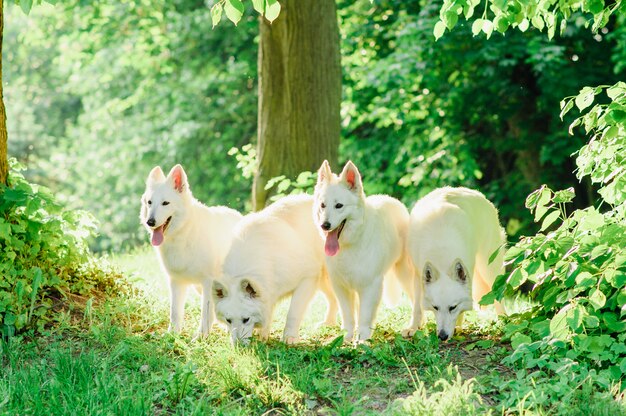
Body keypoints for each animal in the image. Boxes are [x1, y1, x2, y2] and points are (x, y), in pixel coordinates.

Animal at [140, 164, 241, 336]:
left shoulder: (208, 282)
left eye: (165, 203)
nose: (150, 222)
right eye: (149, 203)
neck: (183, 235)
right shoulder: (176, 282)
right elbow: (175, 313)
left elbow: (205, 313)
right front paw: (171, 336)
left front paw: (200, 338)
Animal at [211, 195, 338, 344]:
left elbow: (293, 312)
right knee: (333, 299)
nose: (238, 346)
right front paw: (263, 335)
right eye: (228, 320)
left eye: (246, 319)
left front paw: (289, 337)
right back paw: (329, 322)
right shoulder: (269, 290)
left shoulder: (307, 279)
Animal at [312, 159, 414, 342]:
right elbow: (348, 316)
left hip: (405, 274)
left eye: (339, 206)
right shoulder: (341, 287)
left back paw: (413, 327)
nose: (325, 225)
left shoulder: (370, 286)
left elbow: (365, 316)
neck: (350, 244)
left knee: (418, 302)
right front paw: (346, 338)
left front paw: (362, 340)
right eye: (323, 205)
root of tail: (393, 199)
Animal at [408, 186, 504, 342]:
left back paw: (505, 319)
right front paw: (412, 328)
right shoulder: (418, 274)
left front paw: (457, 327)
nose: (442, 336)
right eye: (435, 307)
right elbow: (417, 306)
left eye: (452, 307)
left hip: (488, 267)